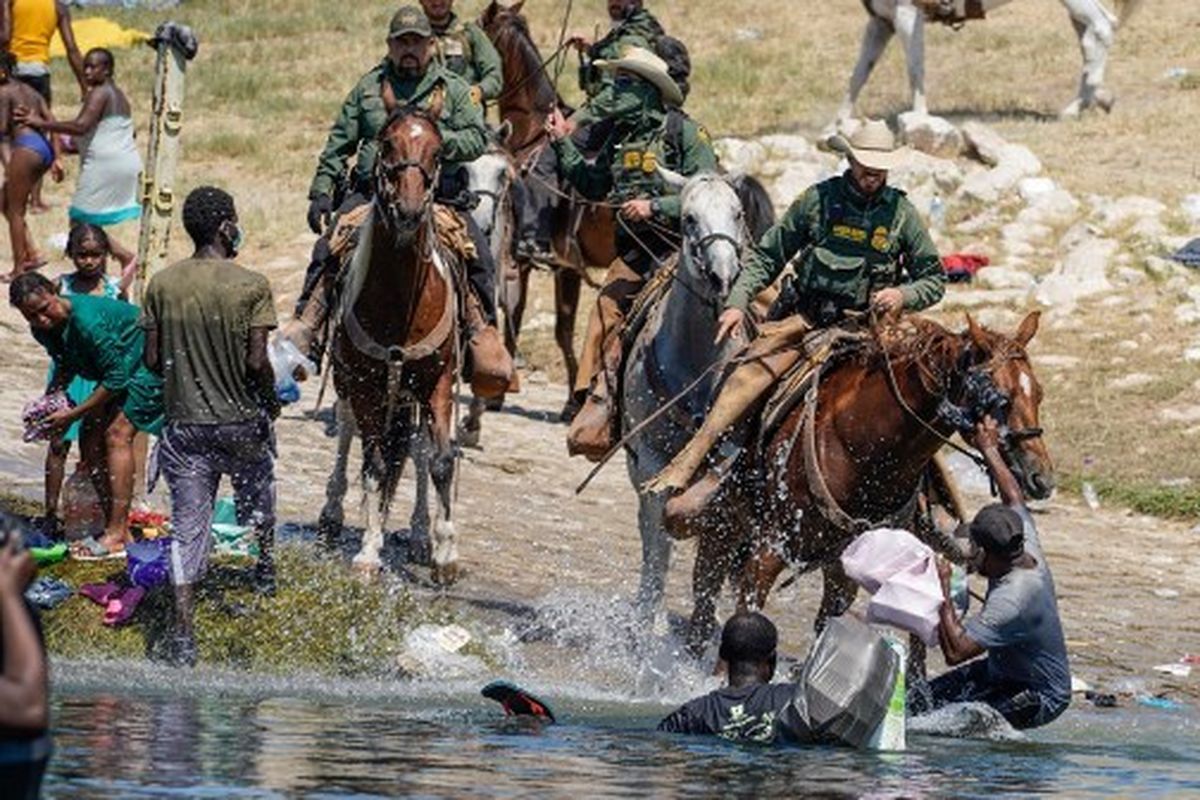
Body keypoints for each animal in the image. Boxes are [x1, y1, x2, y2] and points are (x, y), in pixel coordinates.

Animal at [321, 104, 460, 582]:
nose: (410, 211)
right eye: (386, 145)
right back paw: (332, 514)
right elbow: (375, 465)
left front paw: (445, 552)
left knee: (417, 449)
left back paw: (419, 535)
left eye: (438, 150)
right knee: (348, 431)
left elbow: (440, 461)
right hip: (351, 383)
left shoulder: (438, 381)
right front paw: (369, 549)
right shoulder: (364, 385)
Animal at [686, 311, 1051, 652]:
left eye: (1039, 393)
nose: (1042, 477)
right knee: (703, 599)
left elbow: (826, 629)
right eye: (1002, 398)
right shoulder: (769, 550)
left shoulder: (843, 568)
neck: (862, 449)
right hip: (723, 521)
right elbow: (744, 619)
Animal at [844, 0, 1142, 122]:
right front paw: (837, 127)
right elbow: (859, 75)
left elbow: (915, 70)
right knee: (1089, 35)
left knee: (1100, 28)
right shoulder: (881, 21)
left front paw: (919, 120)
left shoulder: (908, 15)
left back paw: (1079, 105)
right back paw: (1090, 100)